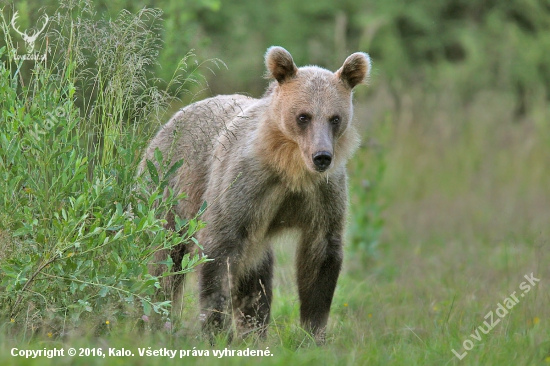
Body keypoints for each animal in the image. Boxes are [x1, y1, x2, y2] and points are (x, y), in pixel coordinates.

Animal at [138, 45, 374, 340]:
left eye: (335, 118)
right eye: (303, 116)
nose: (322, 156)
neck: (291, 170)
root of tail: (171, 120)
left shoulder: (322, 196)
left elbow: (320, 258)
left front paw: (313, 332)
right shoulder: (243, 186)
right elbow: (218, 252)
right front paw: (215, 331)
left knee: (255, 277)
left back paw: (254, 331)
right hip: (169, 190)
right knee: (163, 260)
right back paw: (155, 318)